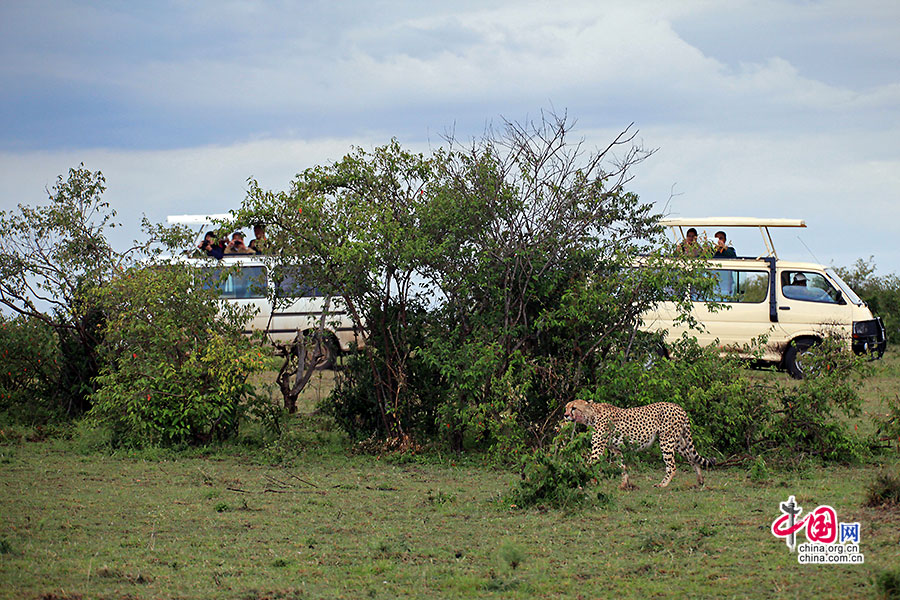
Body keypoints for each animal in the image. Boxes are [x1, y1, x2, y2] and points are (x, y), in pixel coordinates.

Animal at [564, 398, 716, 488]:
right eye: (566, 407)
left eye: (574, 408)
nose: (565, 415)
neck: (592, 415)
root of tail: (678, 407)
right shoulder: (615, 449)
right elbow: (622, 467)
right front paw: (625, 485)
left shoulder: (597, 448)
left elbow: (589, 465)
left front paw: (579, 483)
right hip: (678, 442)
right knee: (692, 457)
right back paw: (700, 480)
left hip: (666, 440)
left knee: (672, 466)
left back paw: (663, 484)